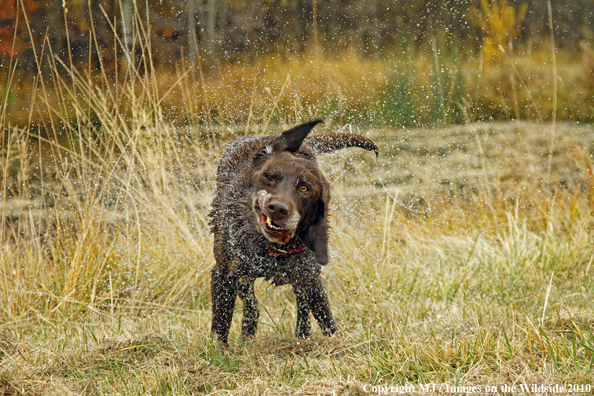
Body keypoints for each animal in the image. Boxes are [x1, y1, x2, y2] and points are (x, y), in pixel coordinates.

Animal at [206, 120, 376, 344]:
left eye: (304, 188)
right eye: (270, 177)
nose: (278, 208)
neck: (270, 248)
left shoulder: (310, 276)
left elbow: (325, 318)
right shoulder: (225, 273)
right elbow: (221, 325)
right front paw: (219, 350)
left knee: (301, 305)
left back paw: (301, 335)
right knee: (252, 304)